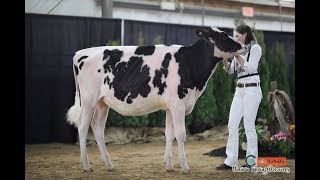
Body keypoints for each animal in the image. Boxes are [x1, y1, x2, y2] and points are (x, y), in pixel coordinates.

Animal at [67, 26, 248, 173]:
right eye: (223, 36)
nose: (245, 46)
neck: (189, 63)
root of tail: (79, 53)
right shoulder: (178, 105)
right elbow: (181, 134)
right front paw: (184, 166)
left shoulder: (170, 107)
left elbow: (169, 134)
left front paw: (169, 166)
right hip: (89, 99)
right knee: (83, 127)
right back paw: (86, 165)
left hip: (102, 103)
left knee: (97, 128)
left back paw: (109, 164)